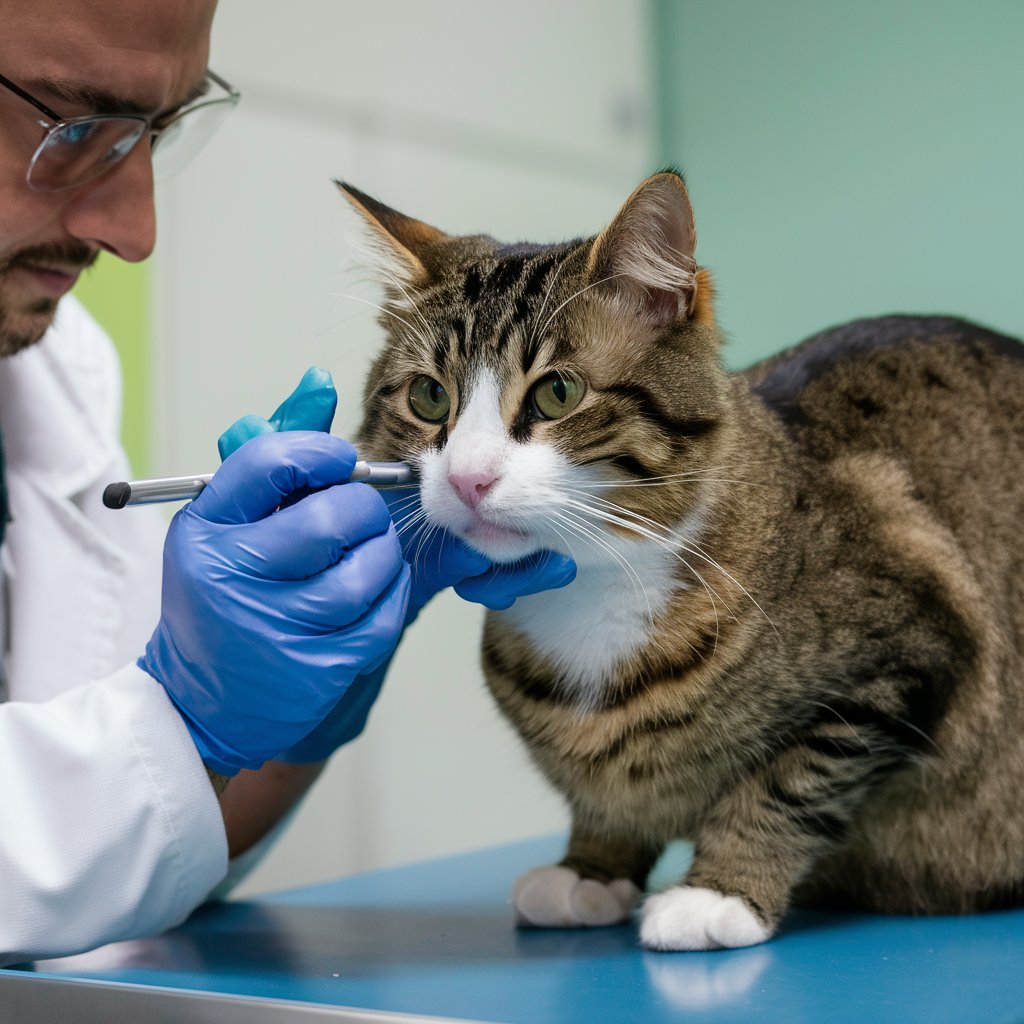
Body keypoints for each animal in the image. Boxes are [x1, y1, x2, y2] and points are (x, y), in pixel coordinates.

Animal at [346, 172, 1024, 946]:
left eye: (558, 392)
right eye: (430, 397)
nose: (467, 478)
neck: (593, 592)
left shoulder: (908, 650)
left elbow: (791, 782)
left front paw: (719, 890)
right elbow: (607, 801)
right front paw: (590, 866)